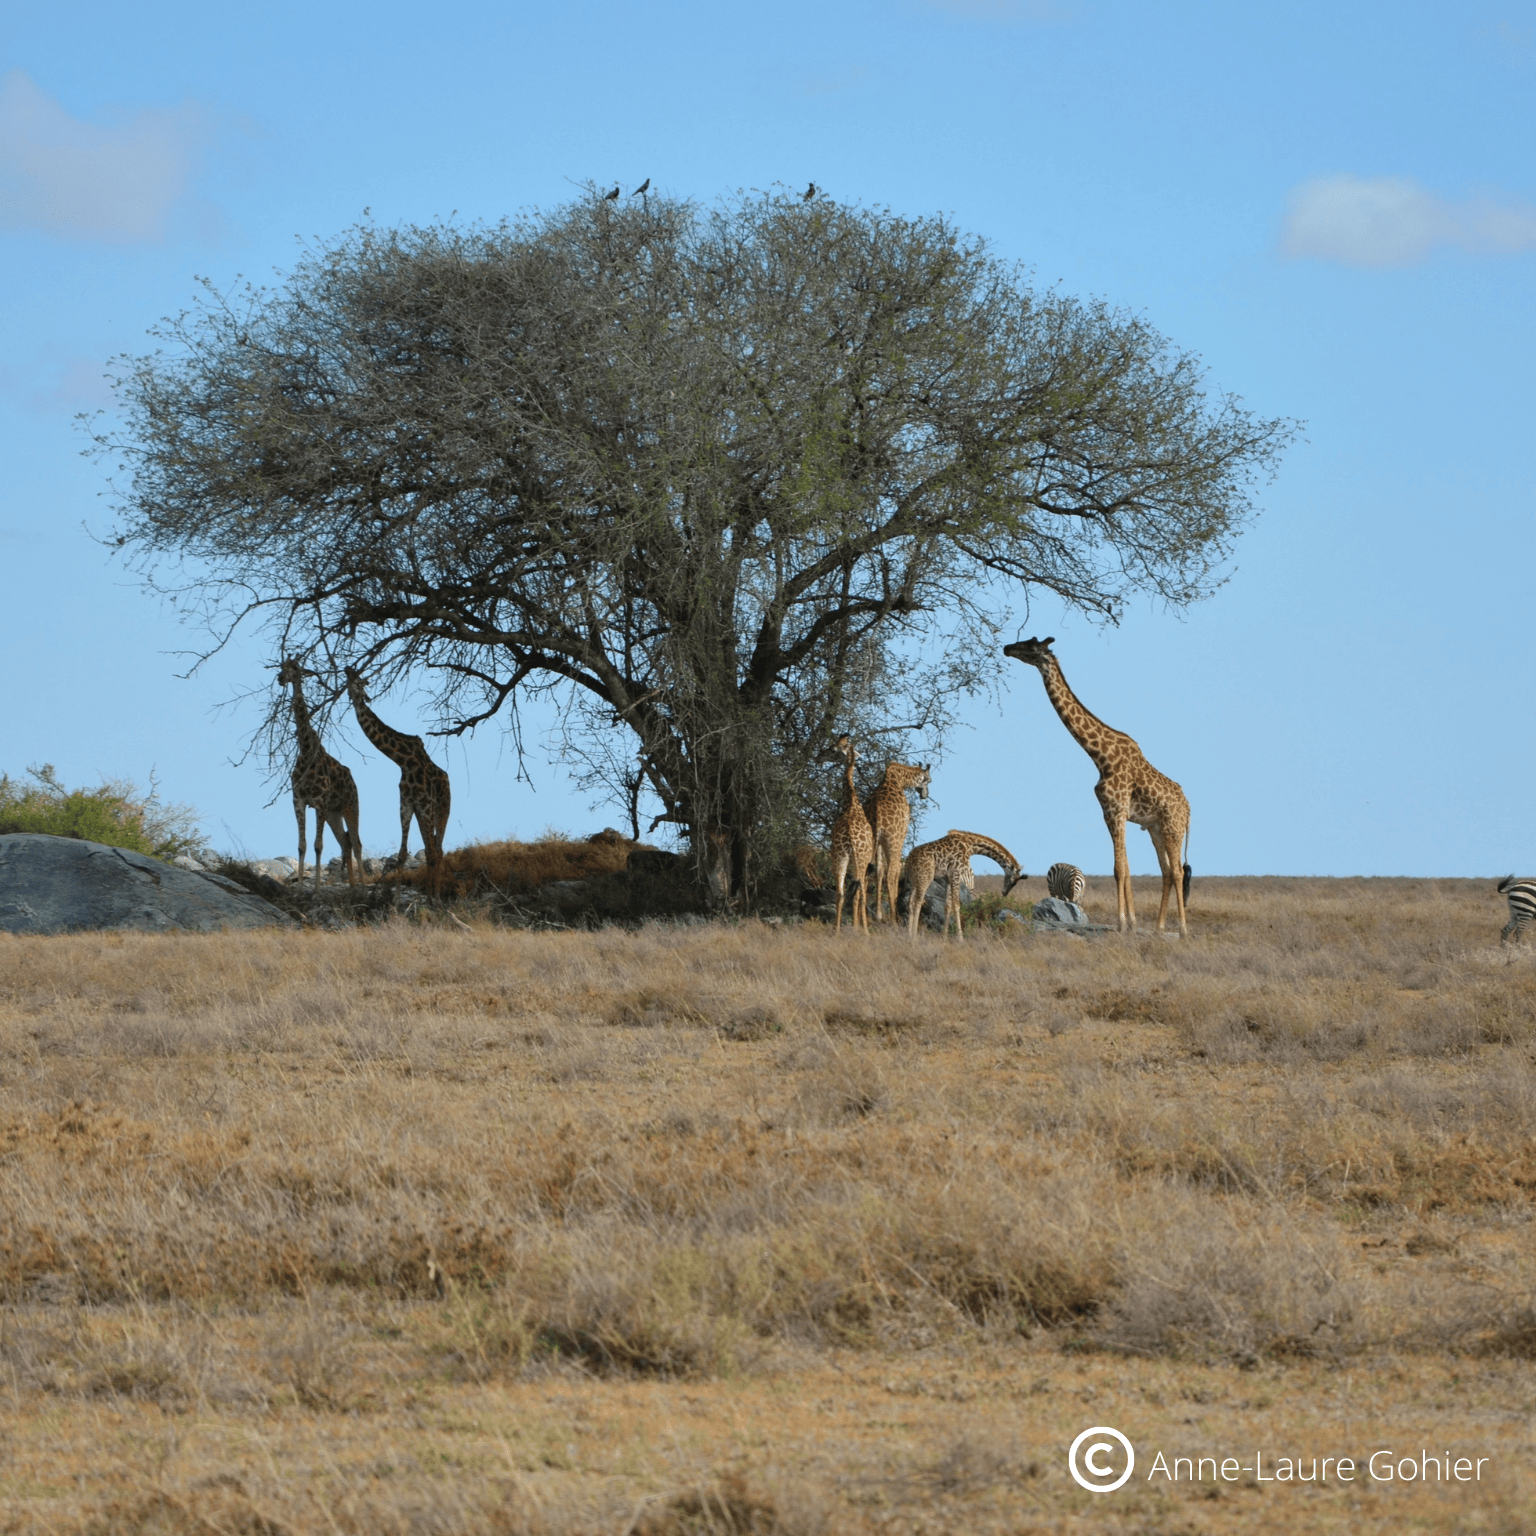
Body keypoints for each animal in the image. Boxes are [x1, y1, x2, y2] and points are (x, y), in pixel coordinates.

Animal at [274, 657, 360, 897]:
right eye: (282, 666)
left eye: (295, 668)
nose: (281, 678)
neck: (305, 749)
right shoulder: (299, 799)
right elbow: (302, 845)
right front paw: (299, 889)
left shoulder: (319, 801)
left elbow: (318, 845)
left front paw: (316, 890)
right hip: (333, 813)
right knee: (346, 842)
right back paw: (351, 886)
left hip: (350, 806)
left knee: (356, 842)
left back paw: (362, 886)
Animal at [344, 666, 448, 897]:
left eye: (359, 681)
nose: (347, 668)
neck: (403, 759)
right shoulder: (407, 803)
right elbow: (402, 854)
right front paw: (396, 902)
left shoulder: (424, 803)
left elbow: (428, 852)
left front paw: (432, 898)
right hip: (424, 813)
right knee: (433, 848)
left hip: (441, 811)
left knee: (437, 850)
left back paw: (436, 895)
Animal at [1001, 635, 1191, 933]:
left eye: (1030, 644)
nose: (1007, 648)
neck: (1100, 757)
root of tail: (1190, 809)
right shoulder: (1112, 813)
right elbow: (1126, 868)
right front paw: (1132, 924)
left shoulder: (1115, 811)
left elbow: (1118, 869)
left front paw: (1122, 924)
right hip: (1156, 828)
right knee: (1168, 872)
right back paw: (1160, 928)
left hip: (1173, 826)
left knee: (1179, 871)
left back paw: (1182, 930)